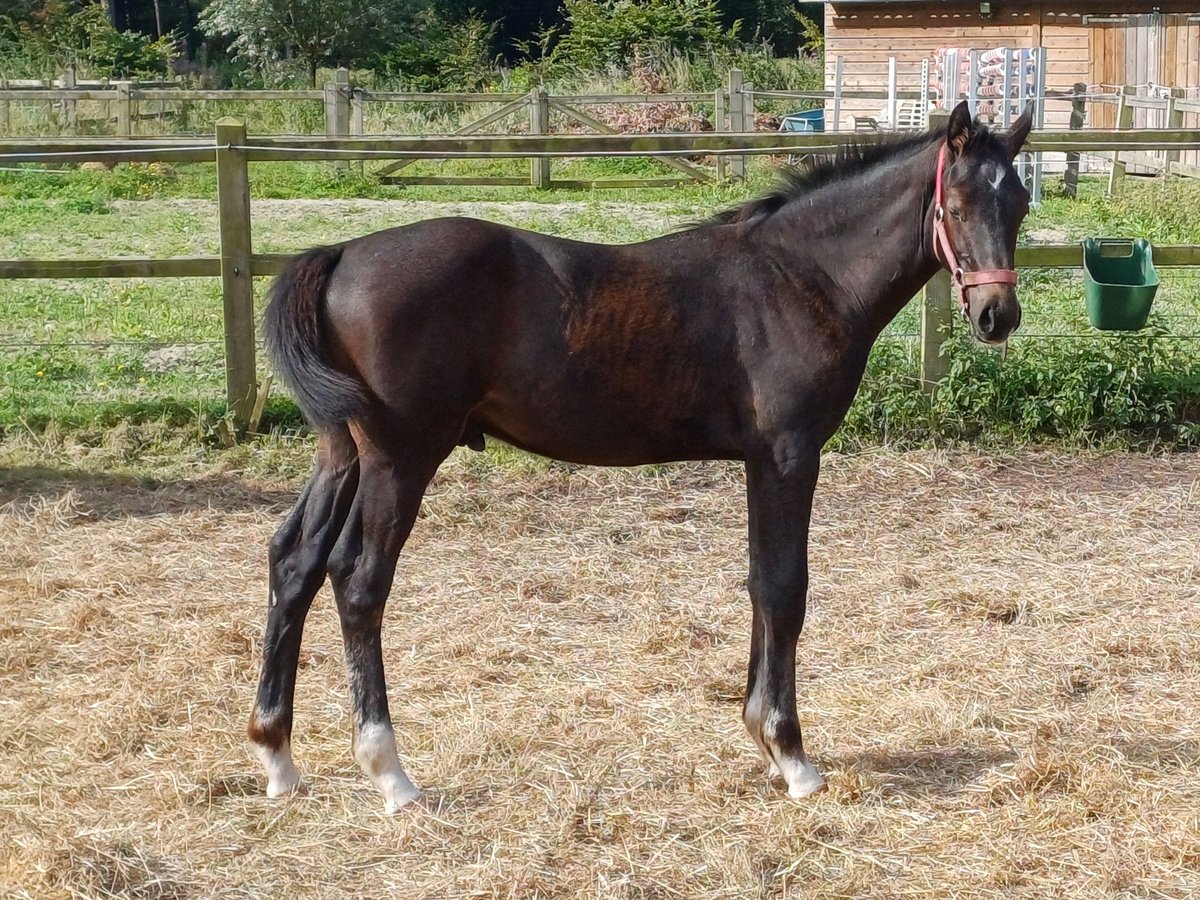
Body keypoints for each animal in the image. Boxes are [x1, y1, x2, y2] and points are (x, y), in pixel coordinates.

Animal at [246, 102, 1032, 816]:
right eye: (958, 204)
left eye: (1020, 201)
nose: (998, 316)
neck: (801, 276)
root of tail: (342, 253)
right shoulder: (787, 454)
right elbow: (785, 587)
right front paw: (791, 754)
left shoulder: (760, 460)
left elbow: (759, 582)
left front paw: (761, 737)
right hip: (401, 458)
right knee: (359, 582)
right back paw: (390, 772)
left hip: (342, 454)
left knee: (295, 560)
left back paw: (277, 755)